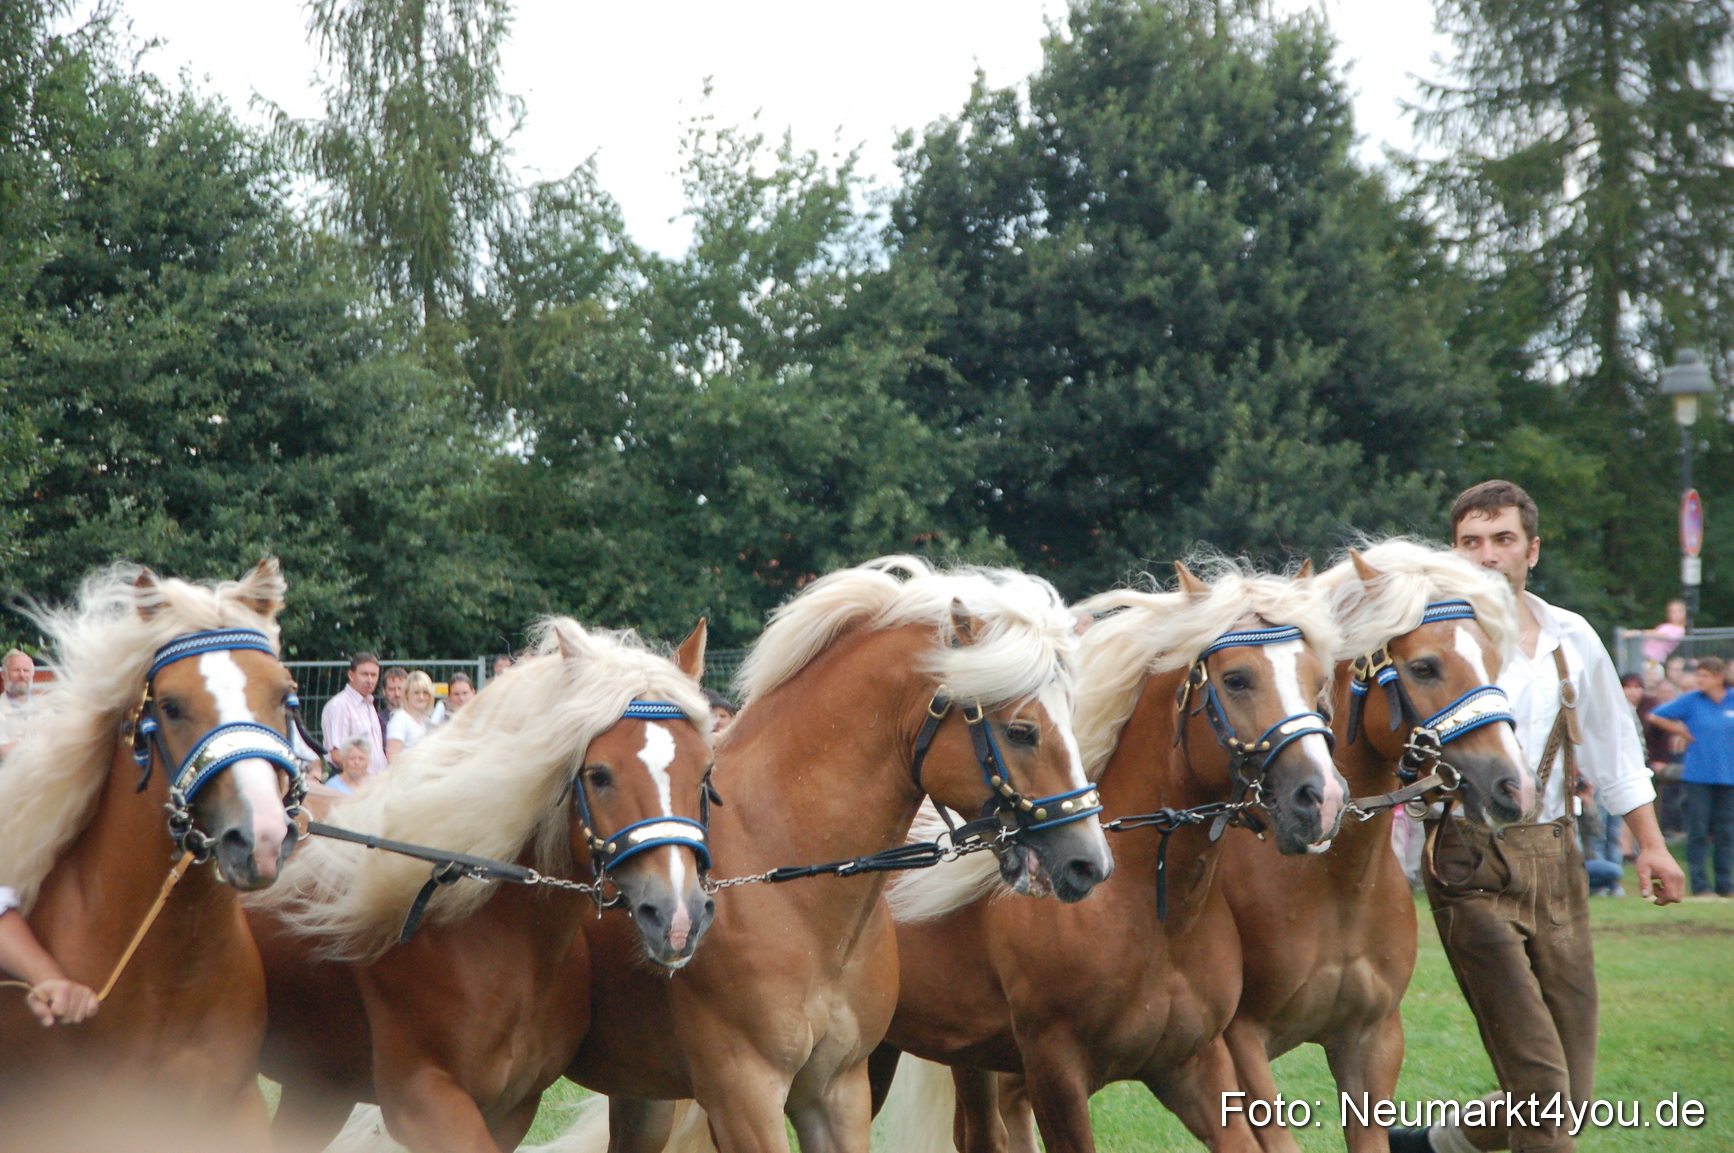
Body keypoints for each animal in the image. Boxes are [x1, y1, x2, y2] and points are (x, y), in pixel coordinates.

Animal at [247, 617, 717, 1153]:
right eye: (599, 774)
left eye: (705, 770)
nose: (678, 917)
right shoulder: (424, 1100)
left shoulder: (512, 1107)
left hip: (316, 1087)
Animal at [871, 561, 1349, 1153]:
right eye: (1237, 678)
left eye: (1316, 678)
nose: (1322, 798)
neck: (1149, 910)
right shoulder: (1055, 1073)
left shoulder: (1194, 1064)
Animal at [1207, 539, 1536, 1153]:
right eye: (1424, 666)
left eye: (1492, 660)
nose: (1514, 785)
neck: (1331, 882)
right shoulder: (1240, 1044)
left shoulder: (1371, 1041)